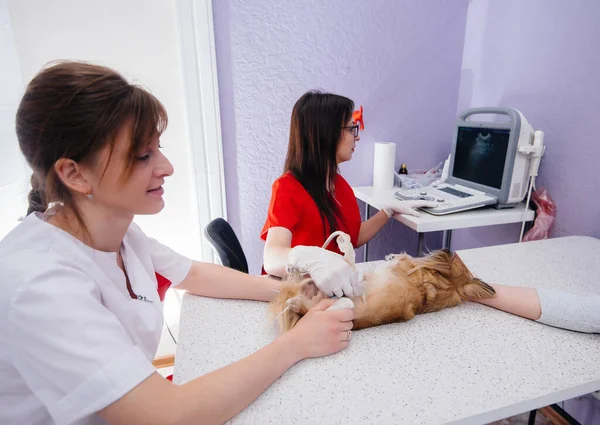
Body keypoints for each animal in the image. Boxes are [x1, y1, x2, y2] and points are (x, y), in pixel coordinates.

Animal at [270, 248, 494, 332]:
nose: (447, 248)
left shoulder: (405, 264)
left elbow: (403, 257)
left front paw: (392, 256)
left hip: (326, 305)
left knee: (304, 305)